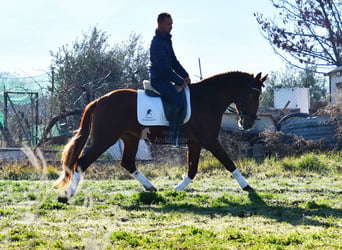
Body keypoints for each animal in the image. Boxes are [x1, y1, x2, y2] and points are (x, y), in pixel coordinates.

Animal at [55, 71, 268, 203]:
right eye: (253, 95)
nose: (248, 124)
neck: (207, 100)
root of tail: (99, 100)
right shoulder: (209, 140)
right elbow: (228, 162)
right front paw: (248, 187)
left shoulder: (196, 142)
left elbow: (192, 169)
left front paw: (177, 189)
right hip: (105, 139)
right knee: (82, 162)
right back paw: (67, 196)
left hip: (130, 138)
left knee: (127, 162)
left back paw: (150, 187)